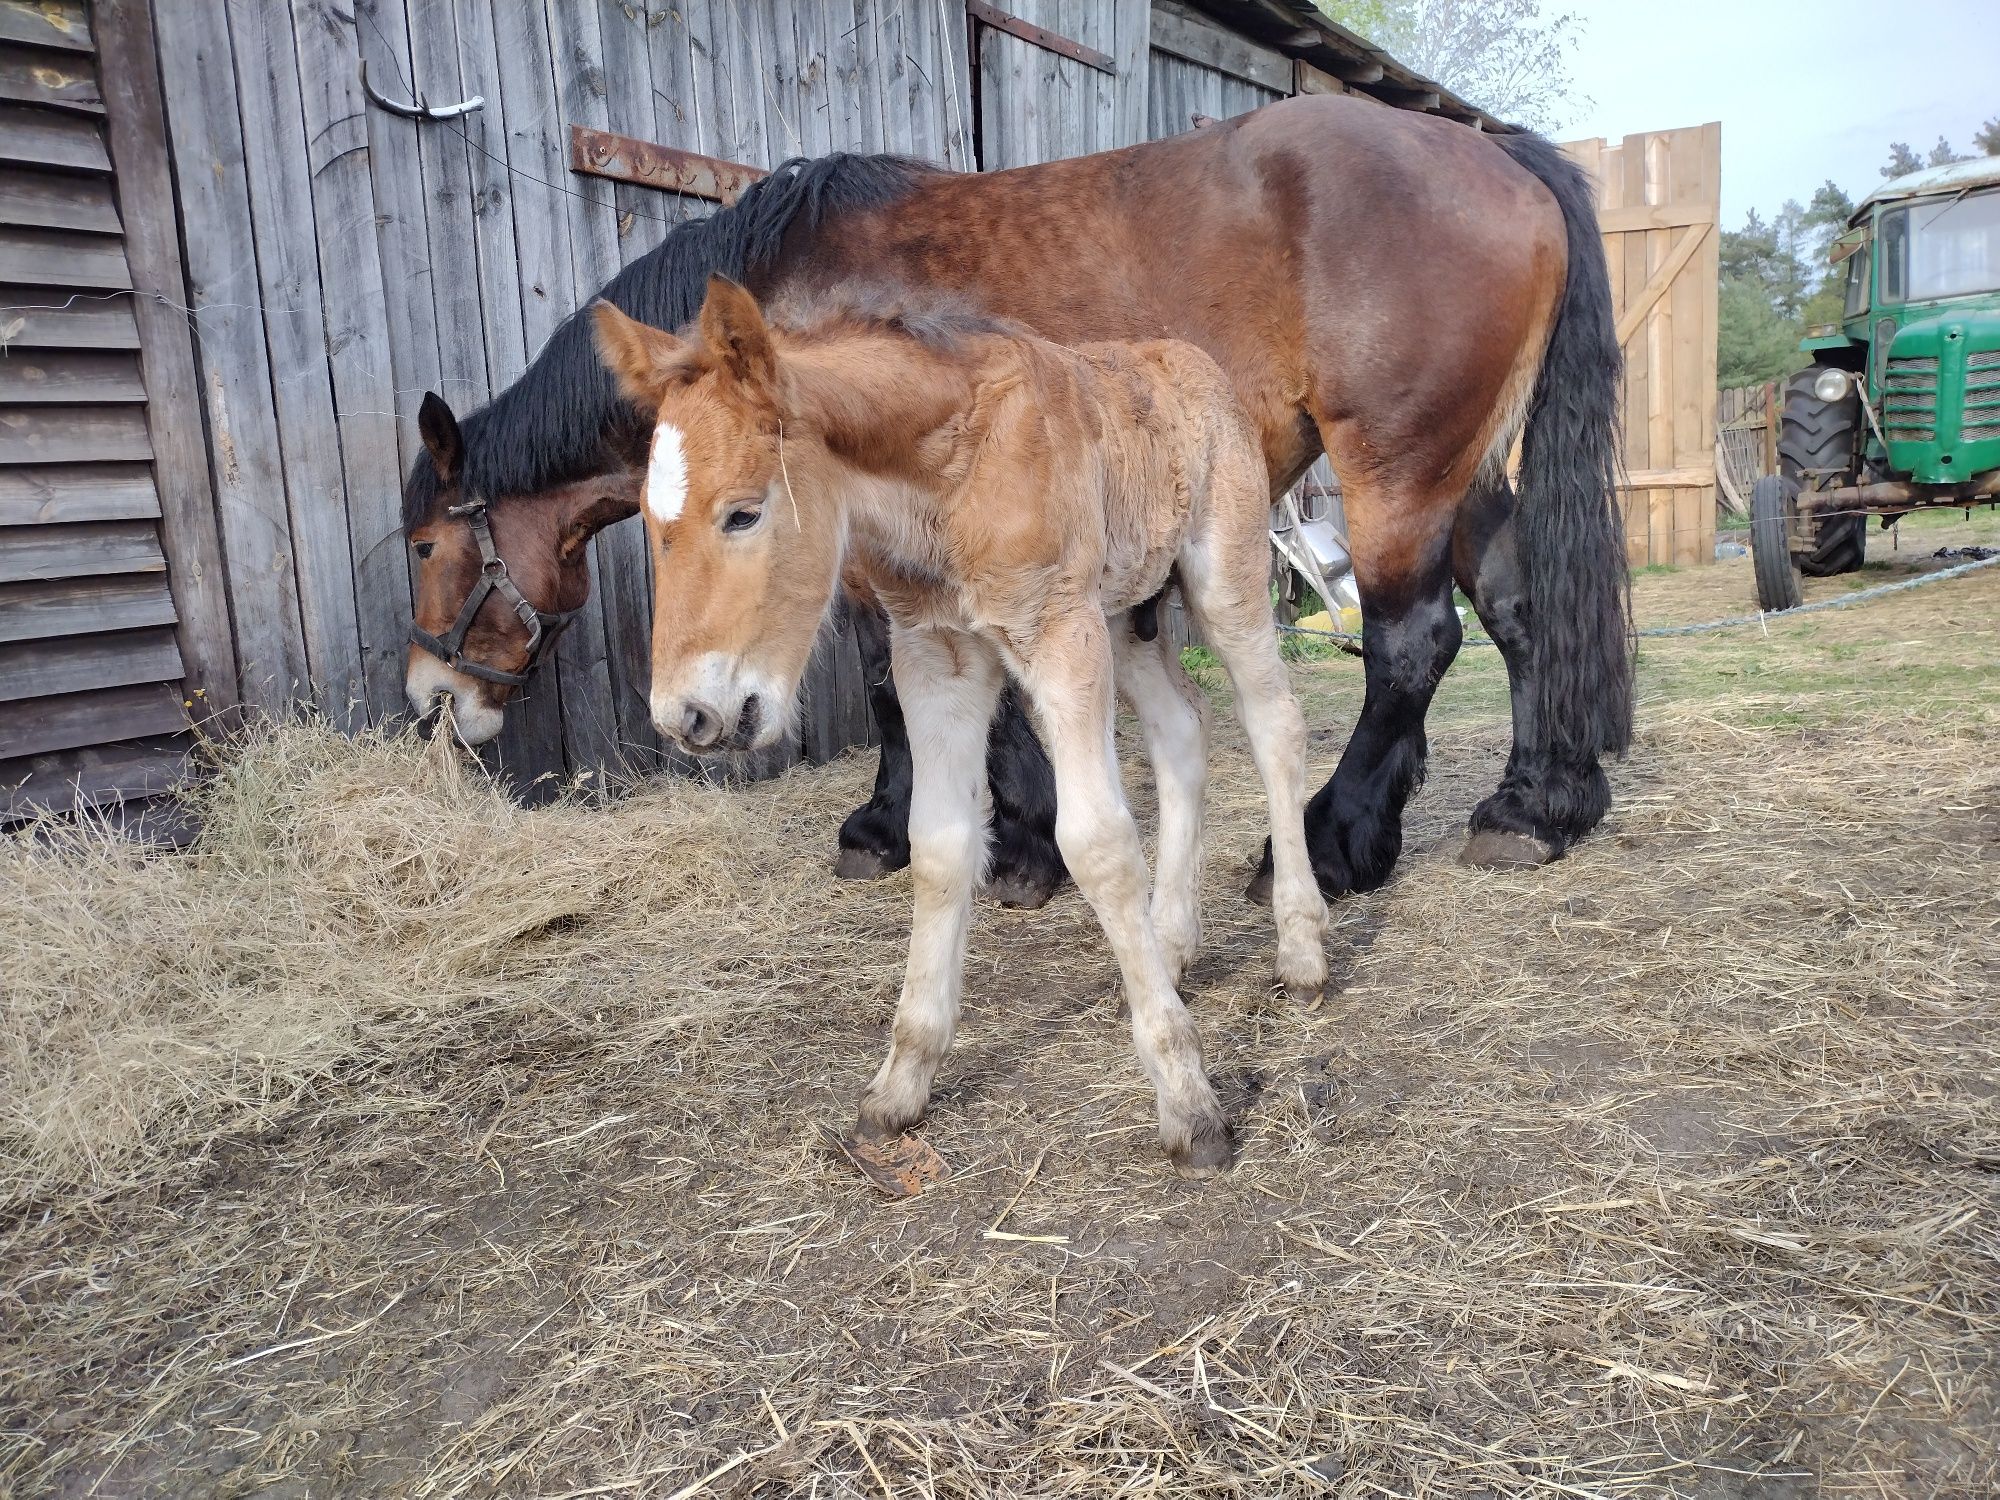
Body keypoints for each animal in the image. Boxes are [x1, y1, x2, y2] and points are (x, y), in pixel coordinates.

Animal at [592, 280, 1328, 1176]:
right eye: (647, 518)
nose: (688, 716)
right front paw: (899, 1086)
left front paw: (1191, 1105)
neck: (945, 481)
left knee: (1275, 726)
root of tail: (1190, 361)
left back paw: (1301, 951)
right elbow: (939, 845)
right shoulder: (936, 658)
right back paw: (1172, 941)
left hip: (1224, 580)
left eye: (742, 513)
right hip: (1129, 615)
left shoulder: (1060, 634)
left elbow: (1097, 843)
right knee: (1182, 729)